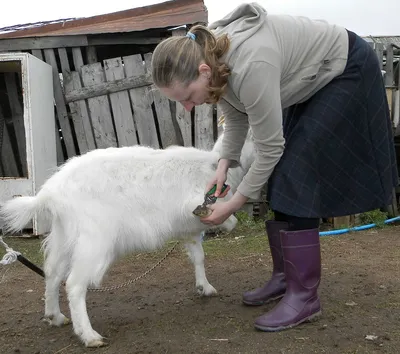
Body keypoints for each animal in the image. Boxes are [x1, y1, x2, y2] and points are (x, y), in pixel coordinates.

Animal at [0, 126, 255, 348]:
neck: (213, 166)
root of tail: (49, 193)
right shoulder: (195, 206)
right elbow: (226, 221)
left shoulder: (188, 229)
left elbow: (198, 256)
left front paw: (205, 287)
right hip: (94, 241)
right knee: (74, 283)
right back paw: (89, 336)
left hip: (64, 236)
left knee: (52, 273)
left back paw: (55, 316)